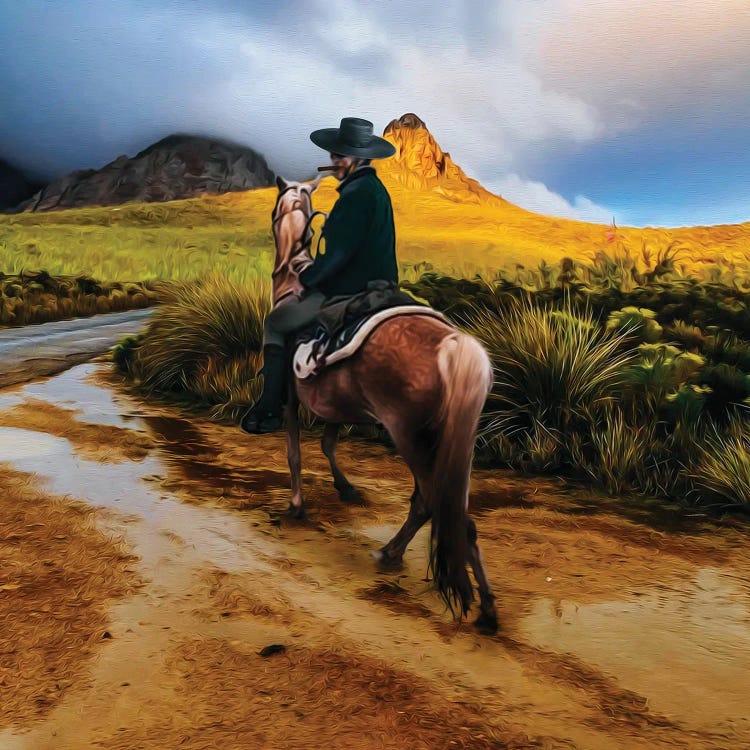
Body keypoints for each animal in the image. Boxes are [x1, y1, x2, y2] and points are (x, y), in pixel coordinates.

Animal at [264, 175, 500, 636]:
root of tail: (452, 343)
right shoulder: (337, 405)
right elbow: (328, 444)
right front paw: (346, 488)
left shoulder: (290, 398)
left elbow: (295, 453)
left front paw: (297, 506)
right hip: (454, 445)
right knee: (455, 513)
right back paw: (483, 604)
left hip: (411, 437)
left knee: (431, 503)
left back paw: (395, 556)